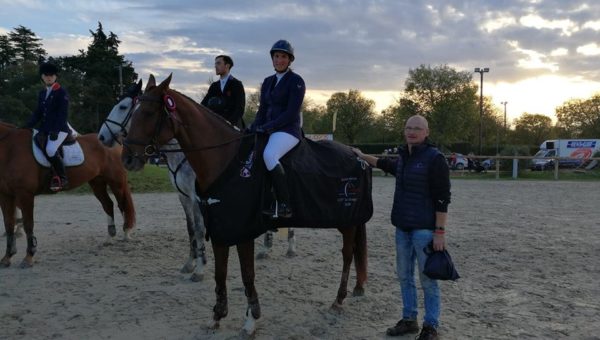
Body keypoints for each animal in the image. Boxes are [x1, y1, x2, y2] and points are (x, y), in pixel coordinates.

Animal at [0, 119, 136, 268]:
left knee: (122, 204)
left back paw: (127, 233)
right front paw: (7, 257)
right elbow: (8, 224)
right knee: (108, 204)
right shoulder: (6, 195)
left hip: (116, 182)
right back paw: (109, 237)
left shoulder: (25, 194)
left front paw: (29, 257)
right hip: (97, 182)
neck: (10, 148)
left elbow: (28, 224)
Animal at [100, 84, 206, 282]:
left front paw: (200, 269)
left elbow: (200, 229)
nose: (101, 136)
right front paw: (190, 264)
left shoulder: (197, 198)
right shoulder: (184, 197)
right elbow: (191, 228)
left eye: (123, 107)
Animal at [120, 74, 368, 334]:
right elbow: (220, 272)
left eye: (148, 113)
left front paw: (250, 320)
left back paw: (338, 299)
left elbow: (247, 274)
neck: (225, 159)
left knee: (347, 254)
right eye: (133, 112)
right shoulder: (219, 227)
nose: (127, 158)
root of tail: (357, 155)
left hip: (349, 221)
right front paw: (217, 315)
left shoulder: (242, 231)